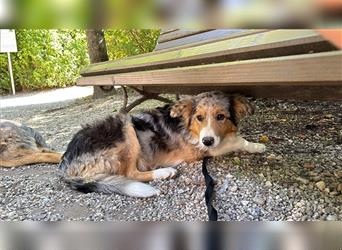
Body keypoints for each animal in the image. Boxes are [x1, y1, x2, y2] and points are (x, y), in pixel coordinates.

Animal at [60, 91, 266, 197]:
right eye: (199, 117)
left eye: (221, 117)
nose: (207, 140)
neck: (188, 125)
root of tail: (65, 166)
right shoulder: (199, 150)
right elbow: (236, 141)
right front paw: (256, 146)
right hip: (127, 127)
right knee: (131, 173)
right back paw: (164, 172)